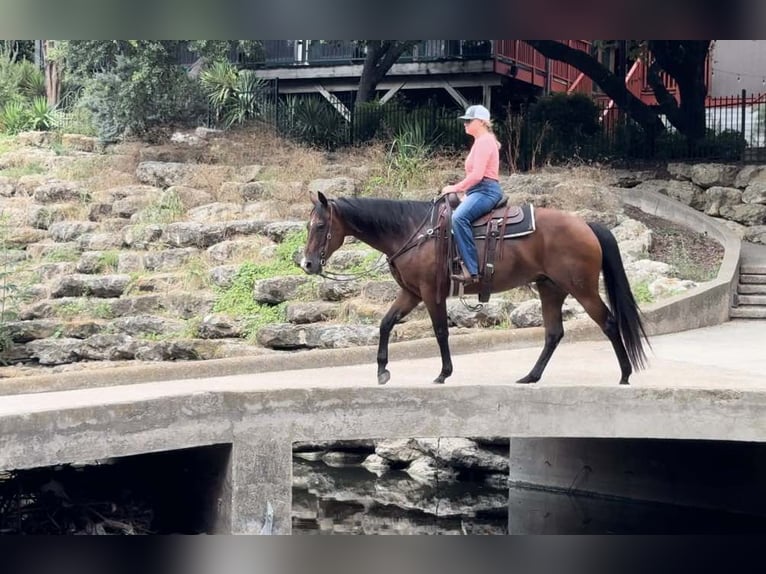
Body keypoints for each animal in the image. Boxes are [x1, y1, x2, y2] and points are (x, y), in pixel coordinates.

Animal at [300, 191, 650, 386]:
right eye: (307, 225)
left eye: (320, 225)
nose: (307, 263)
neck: (413, 232)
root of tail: (586, 225)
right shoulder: (411, 293)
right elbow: (385, 324)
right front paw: (382, 371)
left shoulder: (430, 292)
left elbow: (441, 331)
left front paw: (444, 373)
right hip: (550, 288)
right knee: (553, 334)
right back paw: (530, 376)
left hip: (583, 289)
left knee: (609, 322)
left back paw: (625, 374)